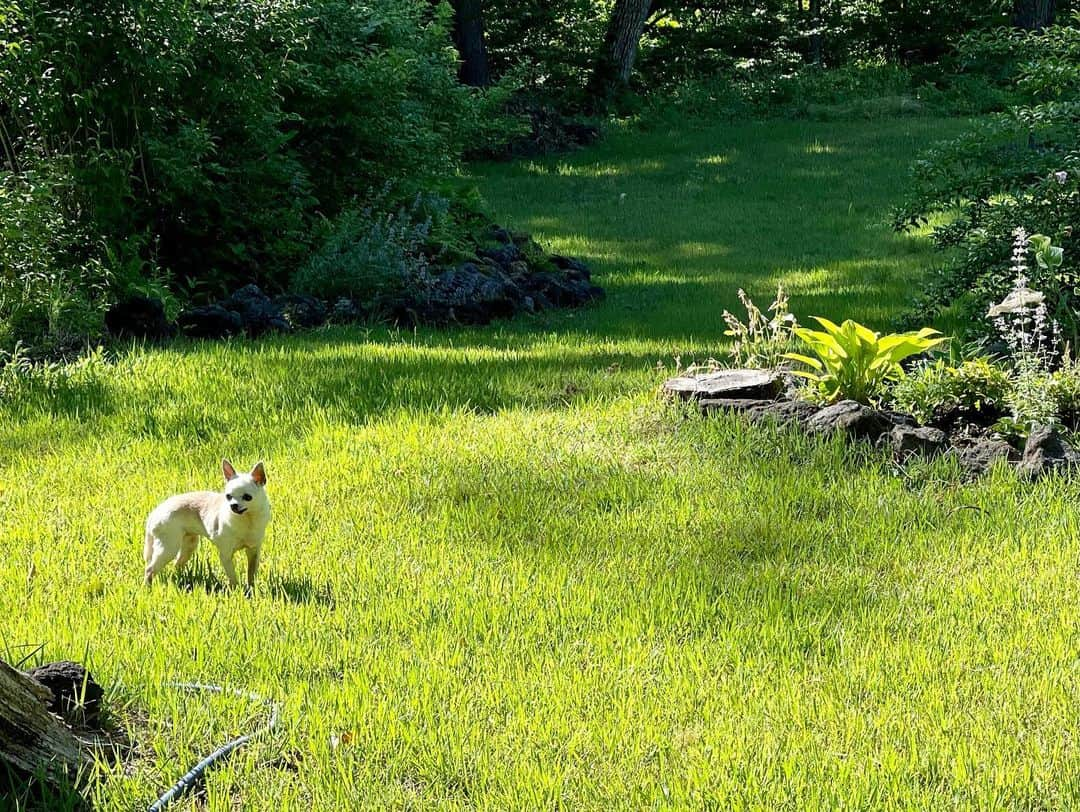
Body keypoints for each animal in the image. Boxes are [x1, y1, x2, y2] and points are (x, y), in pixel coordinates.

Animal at [142, 457, 268, 591]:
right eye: (228, 496)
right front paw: (236, 591)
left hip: (189, 544)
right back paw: (147, 588)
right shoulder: (226, 555)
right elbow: (232, 577)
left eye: (247, 497)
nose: (233, 505)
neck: (247, 519)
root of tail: (154, 513)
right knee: (150, 569)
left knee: (176, 564)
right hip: (168, 547)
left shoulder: (254, 551)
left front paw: (251, 590)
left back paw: (179, 581)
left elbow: (251, 574)